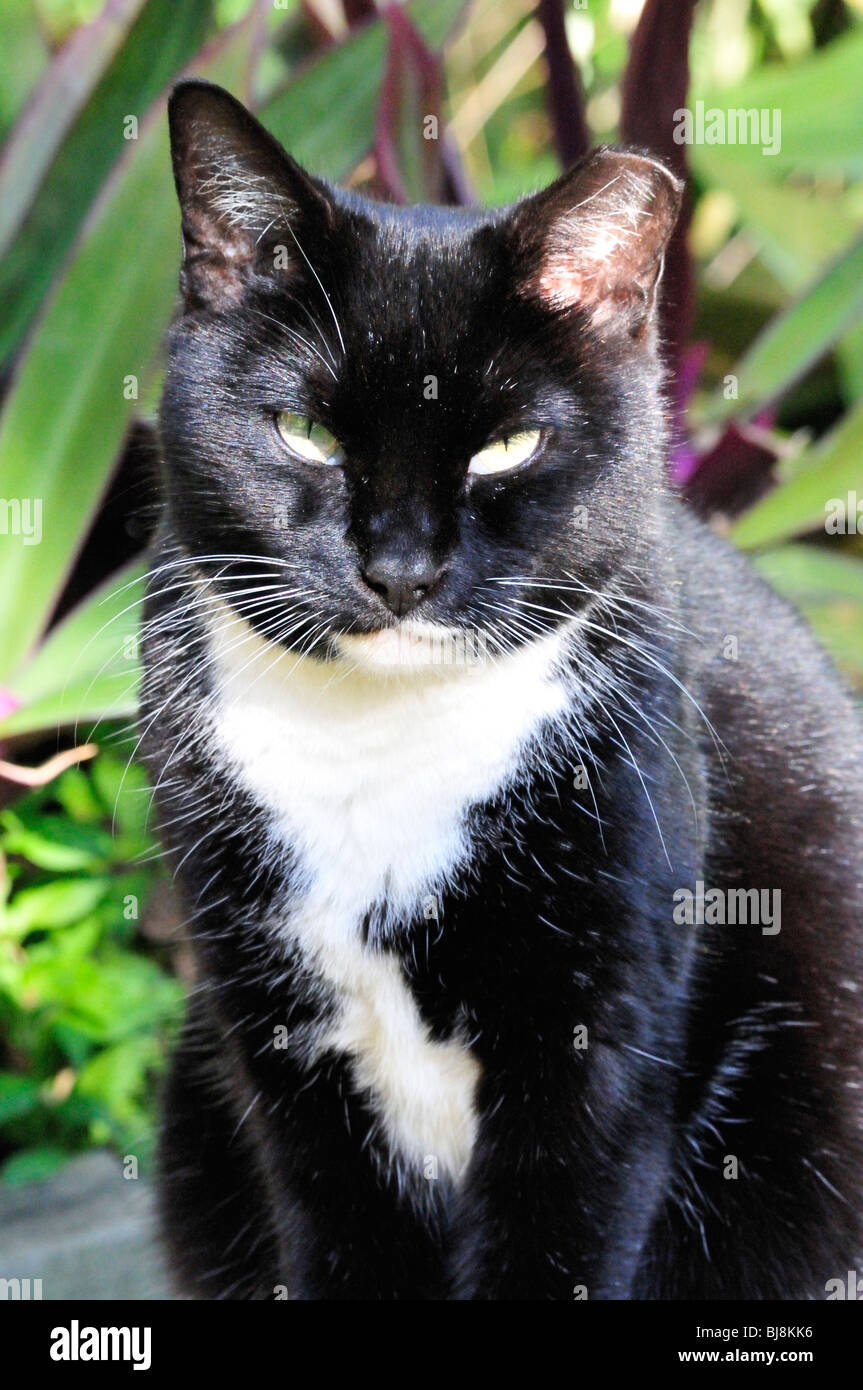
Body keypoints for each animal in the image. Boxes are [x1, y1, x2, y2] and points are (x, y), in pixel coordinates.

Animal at [143, 78, 861, 1301]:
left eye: (507, 447)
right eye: (307, 431)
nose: (399, 569)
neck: (376, 755)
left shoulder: (596, 1029)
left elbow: (558, 1234)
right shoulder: (273, 1035)